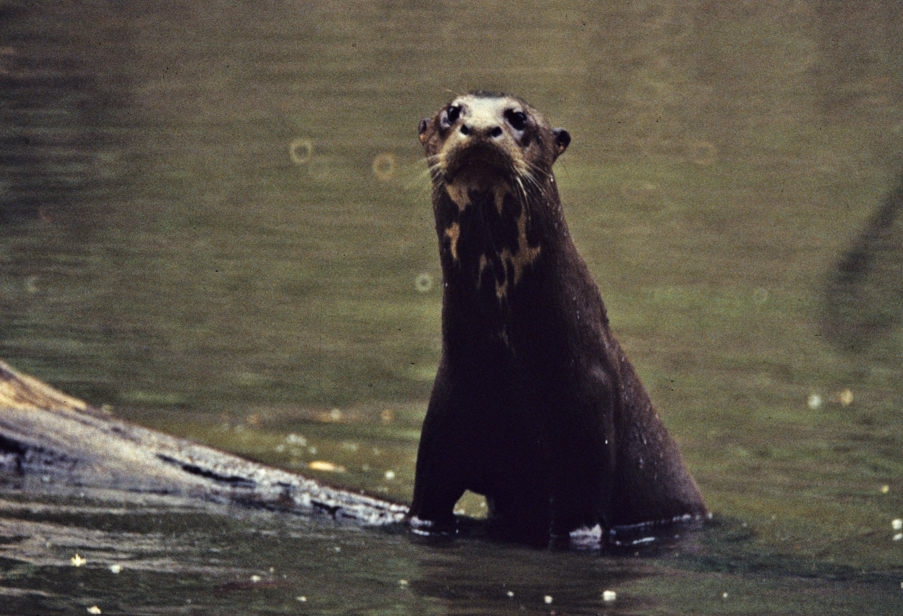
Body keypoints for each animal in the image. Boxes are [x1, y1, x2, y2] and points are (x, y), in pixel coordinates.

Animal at [406, 91, 708, 544]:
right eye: (453, 112)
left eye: (517, 117)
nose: (480, 129)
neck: (509, 364)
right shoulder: (442, 428)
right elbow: (425, 505)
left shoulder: (587, 421)